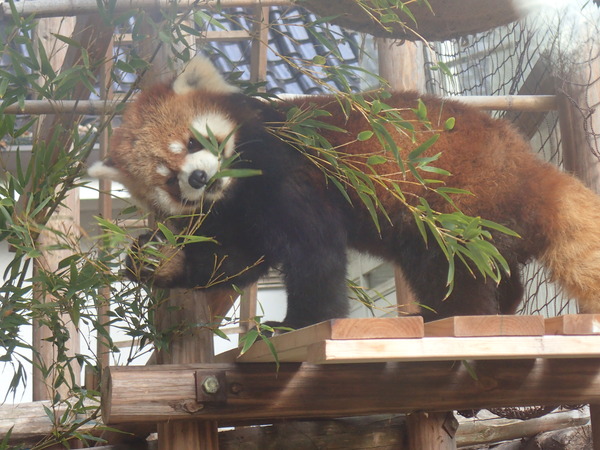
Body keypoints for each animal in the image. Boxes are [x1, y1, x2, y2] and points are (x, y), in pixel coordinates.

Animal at [88, 56, 600, 328]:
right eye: (168, 177)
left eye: (194, 143)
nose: (198, 179)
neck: (240, 187)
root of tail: (531, 170)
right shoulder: (239, 214)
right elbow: (232, 259)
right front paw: (159, 259)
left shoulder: (291, 171)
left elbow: (314, 255)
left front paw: (295, 326)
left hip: (455, 209)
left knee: (452, 271)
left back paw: (454, 318)